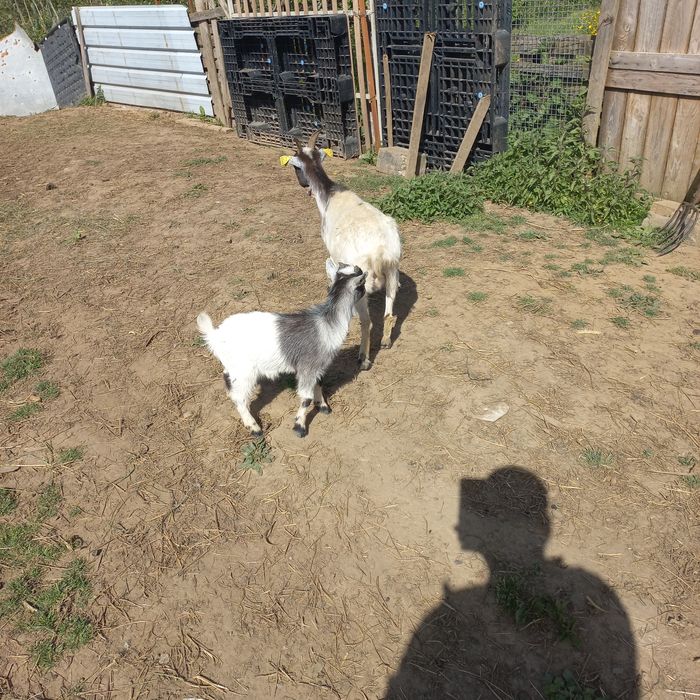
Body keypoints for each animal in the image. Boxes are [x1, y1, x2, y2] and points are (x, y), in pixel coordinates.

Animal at [197, 261, 367, 438]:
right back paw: (254, 428)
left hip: (233, 367)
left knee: (230, 385)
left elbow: (319, 383)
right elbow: (306, 398)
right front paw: (299, 427)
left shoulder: (318, 367)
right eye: (362, 283)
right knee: (240, 398)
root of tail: (216, 335)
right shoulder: (307, 367)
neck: (327, 324)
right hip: (245, 372)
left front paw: (323, 406)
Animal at [280, 131, 401, 370]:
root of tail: (381, 250)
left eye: (295, 167)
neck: (329, 195)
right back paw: (385, 342)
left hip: (363, 283)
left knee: (367, 321)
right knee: (389, 313)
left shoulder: (336, 257)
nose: (303, 185)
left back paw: (363, 358)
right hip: (394, 271)